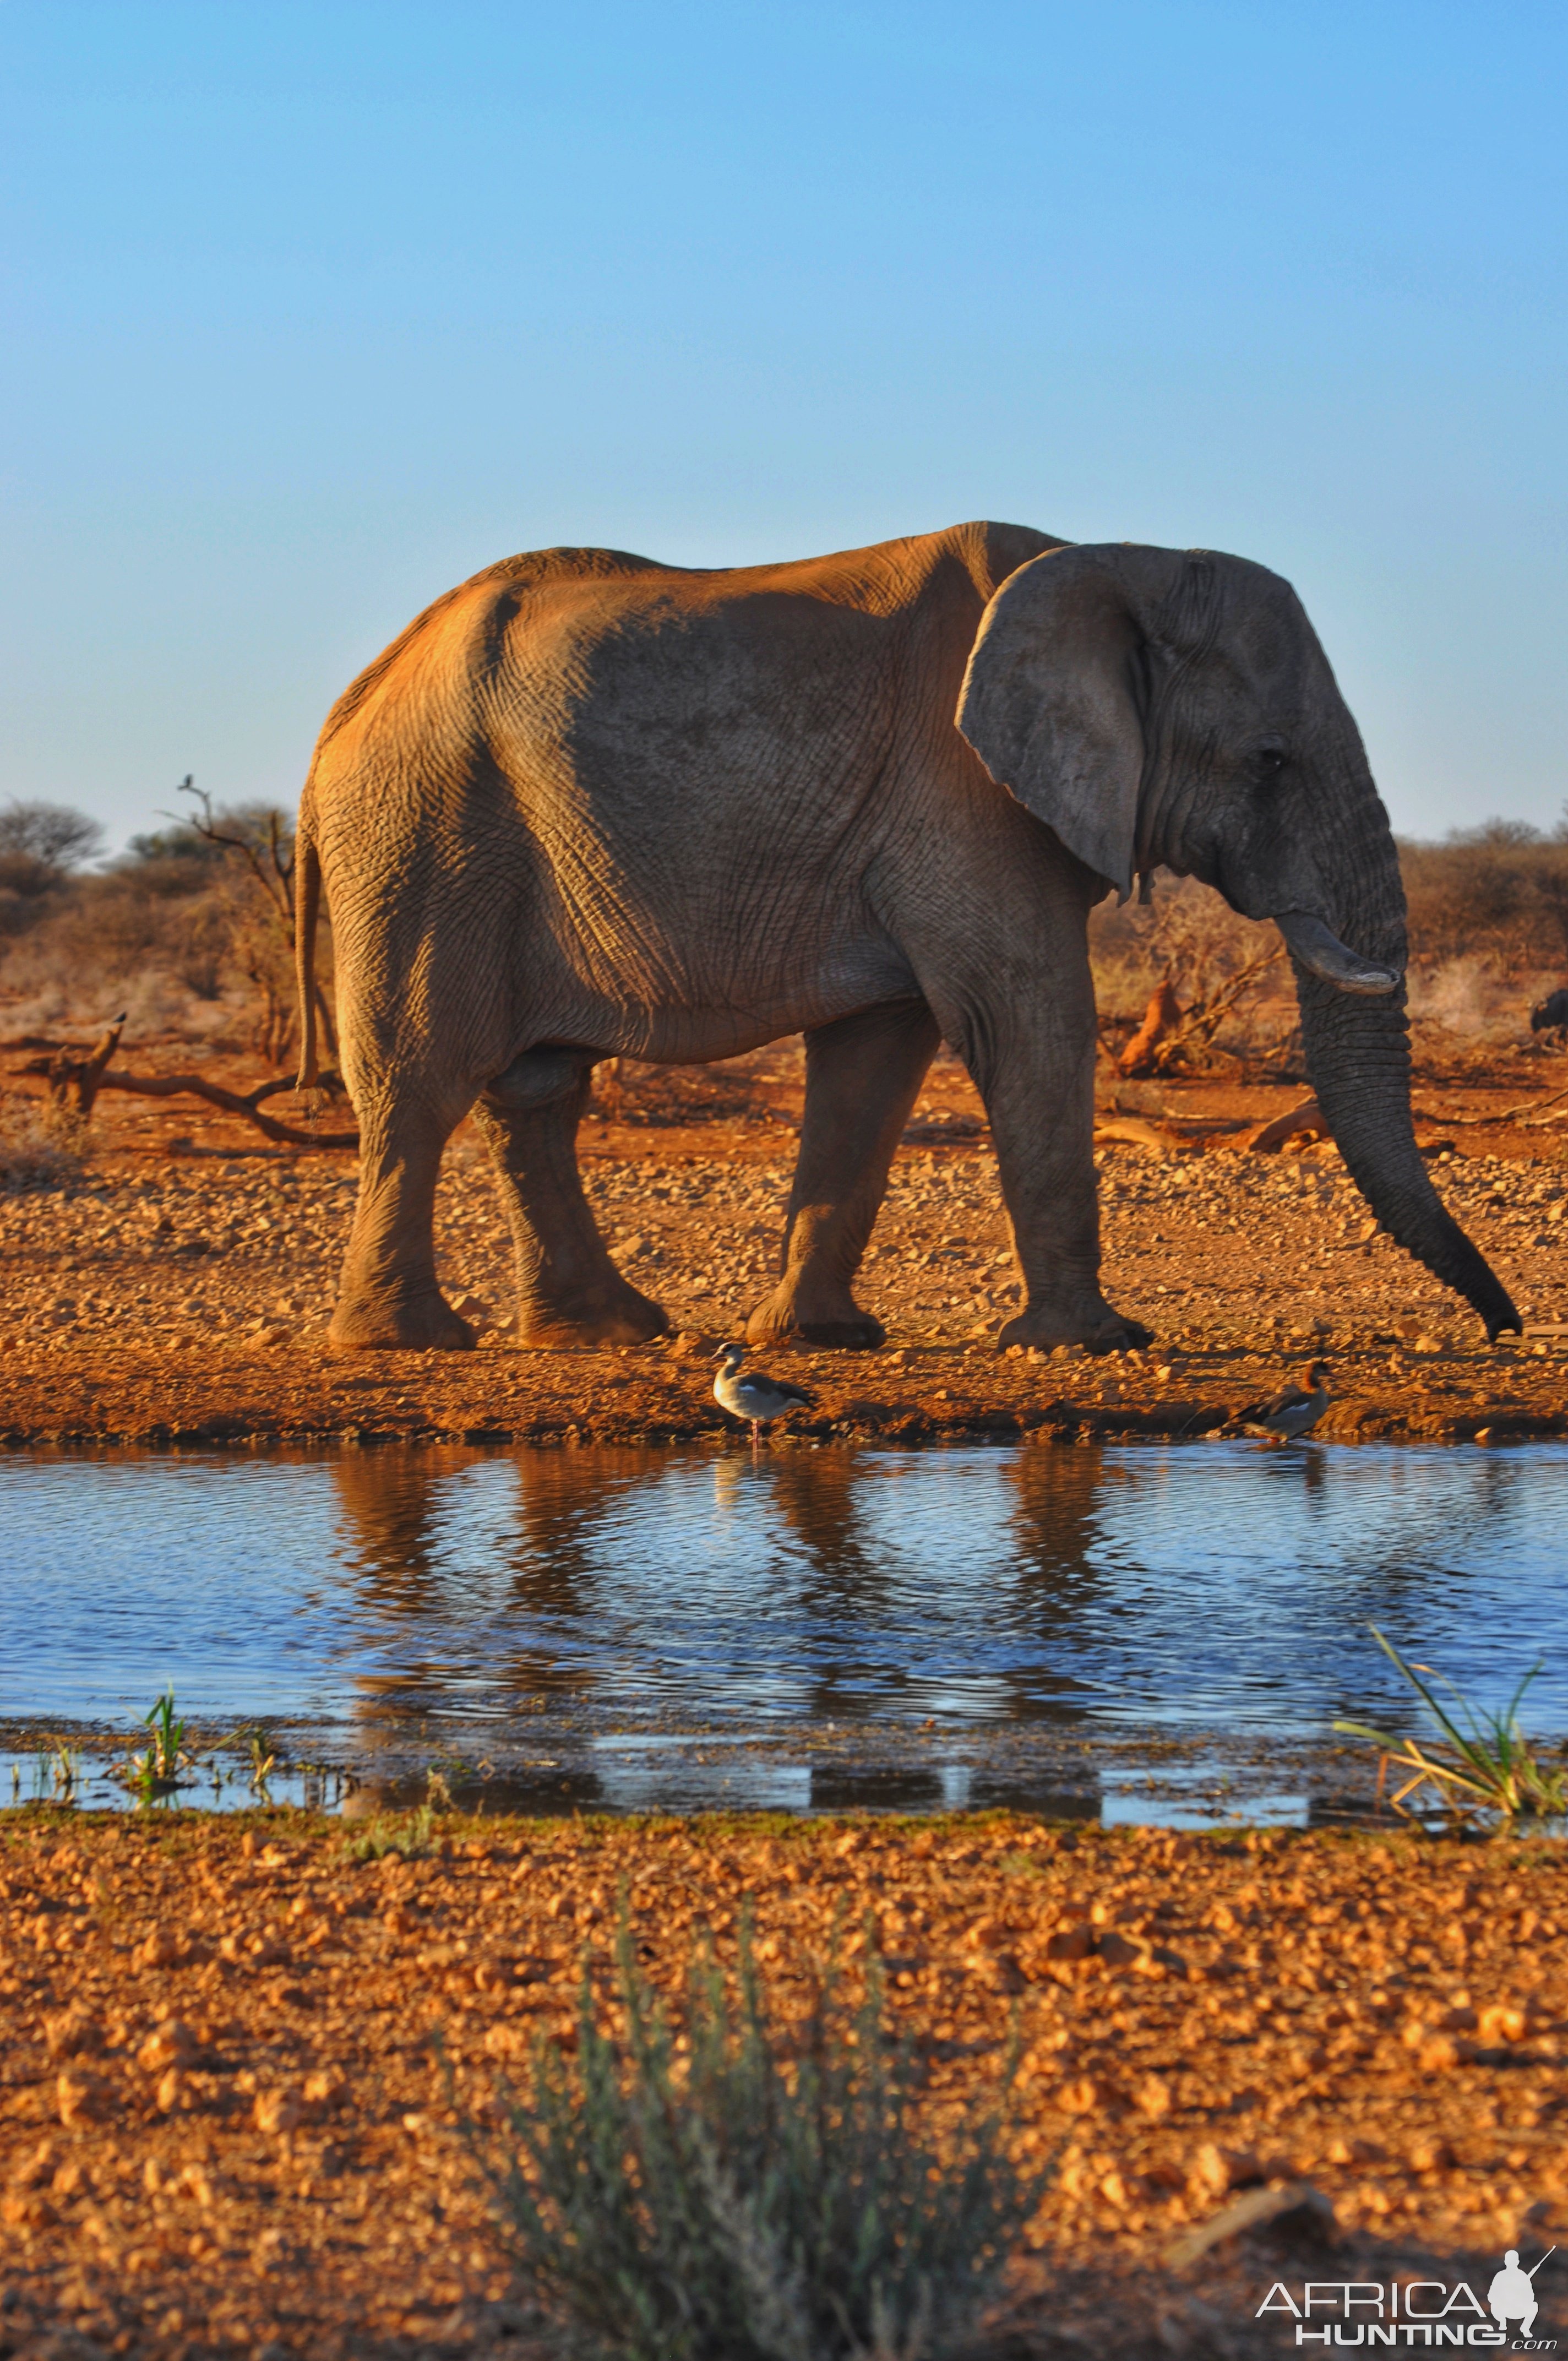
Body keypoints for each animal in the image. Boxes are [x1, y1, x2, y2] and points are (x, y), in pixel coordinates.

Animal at [290, 524, 1521, 1359]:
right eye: (1268, 761)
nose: (1505, 1328)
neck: (1117, 563)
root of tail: (347, 702)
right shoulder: (962, 792)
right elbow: (1025, 1016)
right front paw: (1094, 1342)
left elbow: (877, 1057)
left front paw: (821, 1340)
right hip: (420, 832)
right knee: (420, 1078)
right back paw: (407, 1341)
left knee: (535, 1090)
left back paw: (608, 1332)